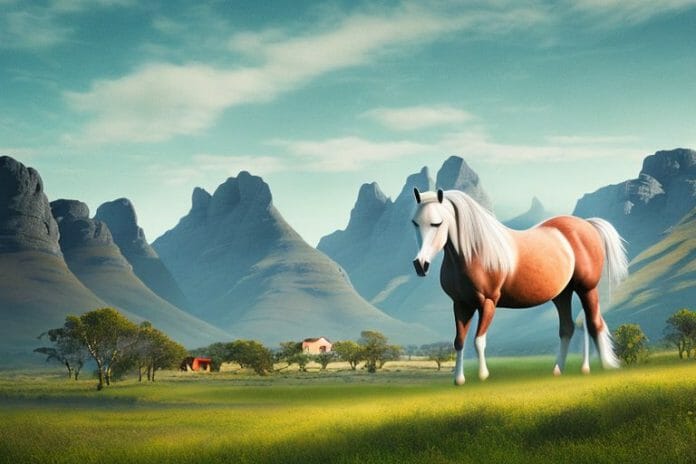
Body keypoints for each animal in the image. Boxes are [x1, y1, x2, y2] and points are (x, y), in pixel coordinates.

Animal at [411, 188, 628, 385]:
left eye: (437, 223)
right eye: (415, 222)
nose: (420, 265)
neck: (473, 252)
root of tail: (587, 225)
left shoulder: (487, 302)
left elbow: (478, 340)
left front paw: (483, 376)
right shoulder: (461, 304)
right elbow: (459, 341)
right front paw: (459, 379)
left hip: (586, 289)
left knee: (594, 323)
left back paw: (606, 367)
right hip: (562, 294)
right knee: (567, 328)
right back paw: (558, 370)